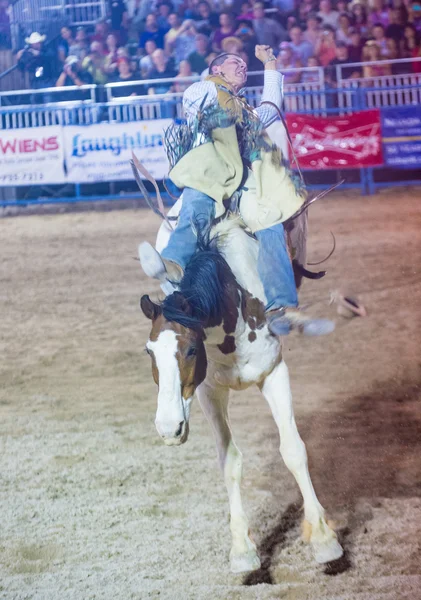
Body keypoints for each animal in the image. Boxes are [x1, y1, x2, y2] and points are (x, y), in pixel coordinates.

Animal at [138, 219, 342, 572]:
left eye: (191, 350)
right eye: (149, 352)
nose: (169, 429)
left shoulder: (275, 372)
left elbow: (293, 450)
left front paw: (324, 539)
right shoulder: (209, 392)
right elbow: (230, 461)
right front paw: (242, 550)